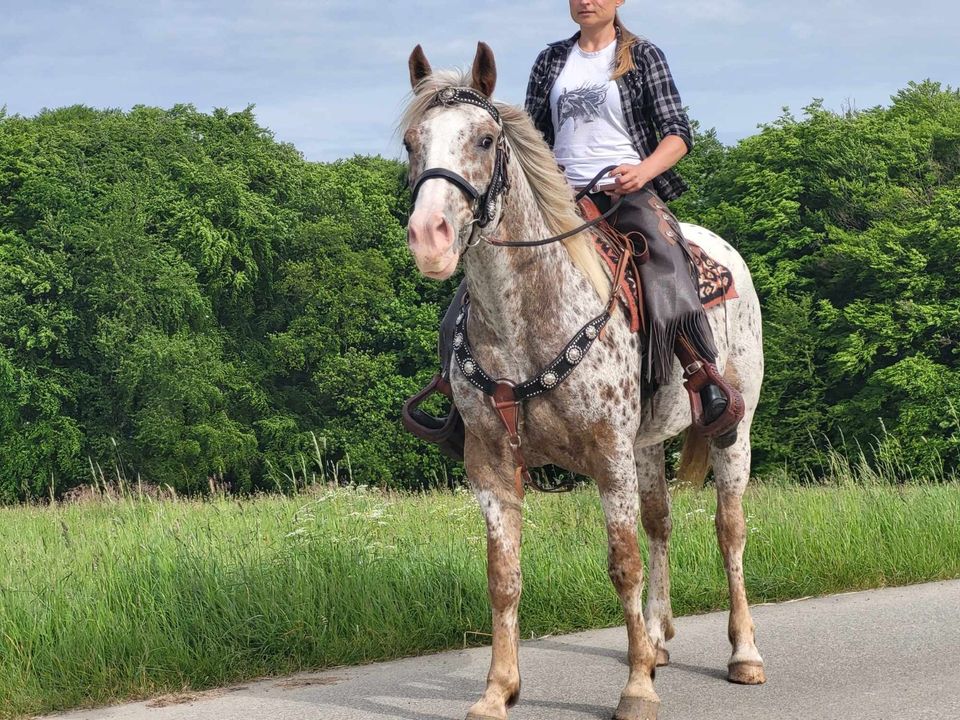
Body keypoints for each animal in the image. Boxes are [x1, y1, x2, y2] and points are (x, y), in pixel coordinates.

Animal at [398, 42, 764, 720]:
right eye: (412, 142)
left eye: (485, 139)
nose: (429, 238)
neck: (527, 317)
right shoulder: (491, 463)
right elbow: (504, 577)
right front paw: (498, 689)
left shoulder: (607, 455)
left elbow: (622, 564)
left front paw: (637, 689)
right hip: (648, 444)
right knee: (661, 523)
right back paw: (657, 641)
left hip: (734, 429)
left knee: (729, 532)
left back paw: (743, 654)